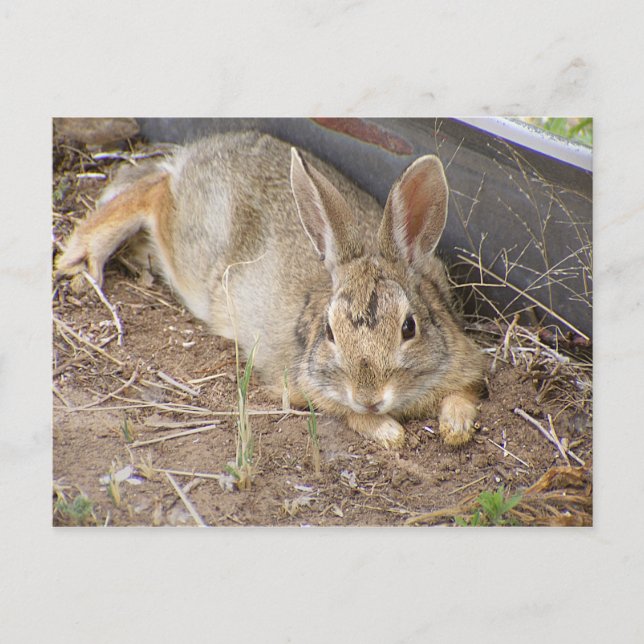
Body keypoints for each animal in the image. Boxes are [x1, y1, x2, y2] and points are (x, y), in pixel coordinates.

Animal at [56, 131, 484, 449]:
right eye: (329, 332)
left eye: (409, 328)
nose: (369, 397)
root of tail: (199, 152)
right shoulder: (302, 387)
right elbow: (346, 414)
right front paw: (390, 433)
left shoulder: (466, 365)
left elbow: (464, 395)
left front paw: (455, 429)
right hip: (188, 244)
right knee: (154, 192)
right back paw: (80, 257)